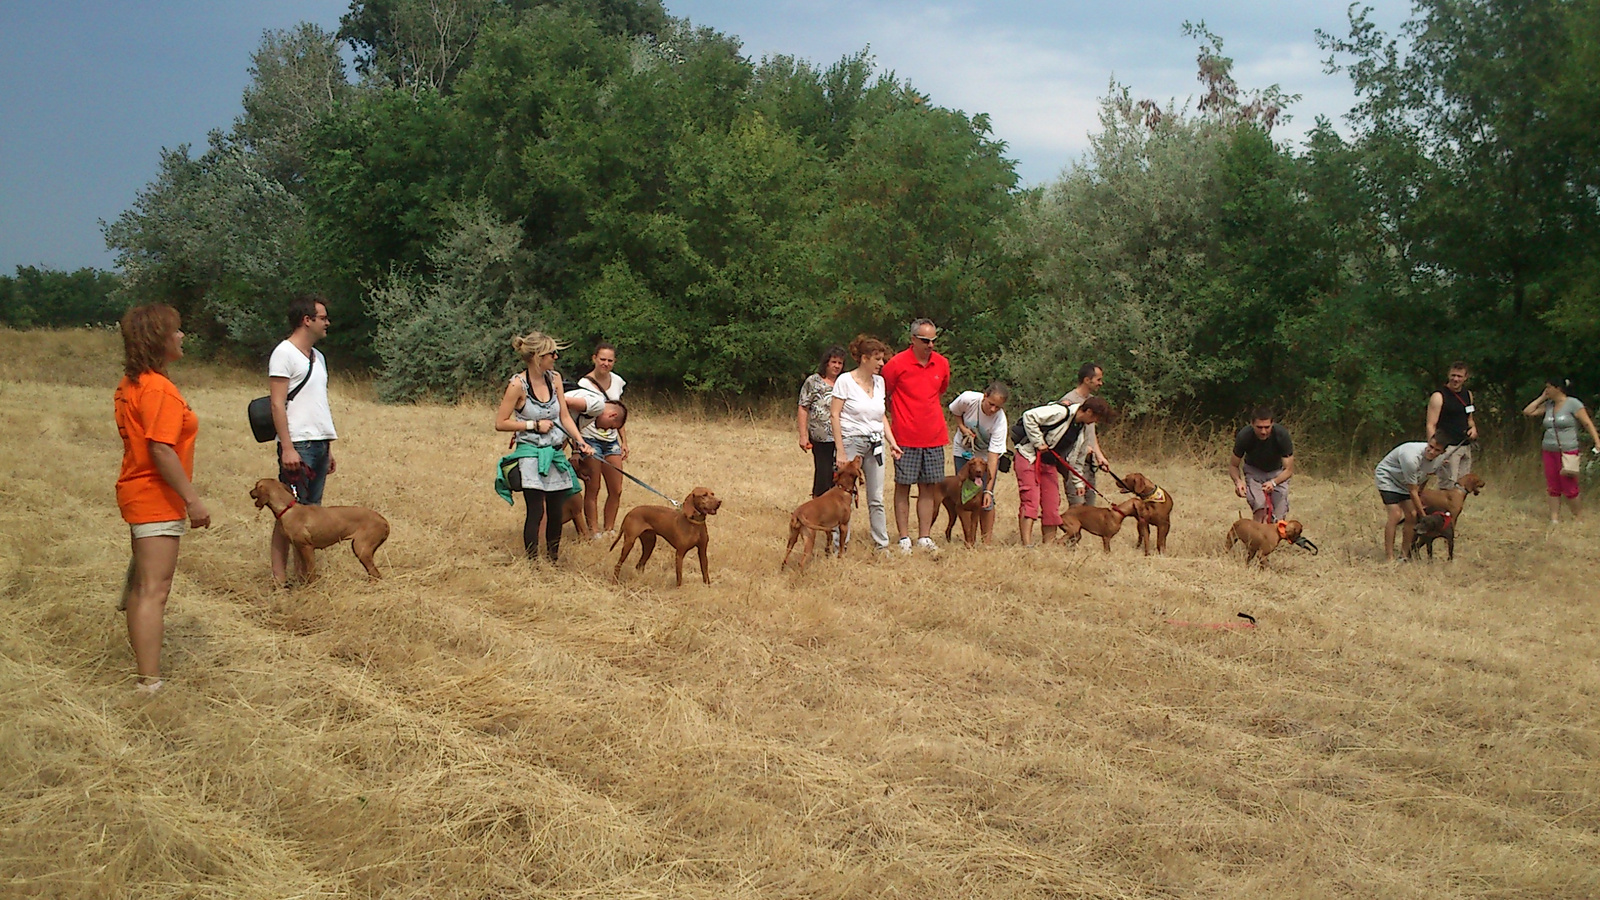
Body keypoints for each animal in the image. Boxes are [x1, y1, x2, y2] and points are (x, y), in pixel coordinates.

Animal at [249, 477, 390, 582]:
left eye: (256, 486)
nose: (249, 492)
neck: (288, 508)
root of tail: (384, 521)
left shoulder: (307, 548)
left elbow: (311, 572)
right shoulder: (298, 548)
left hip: (361, 548)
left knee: (376, 574)